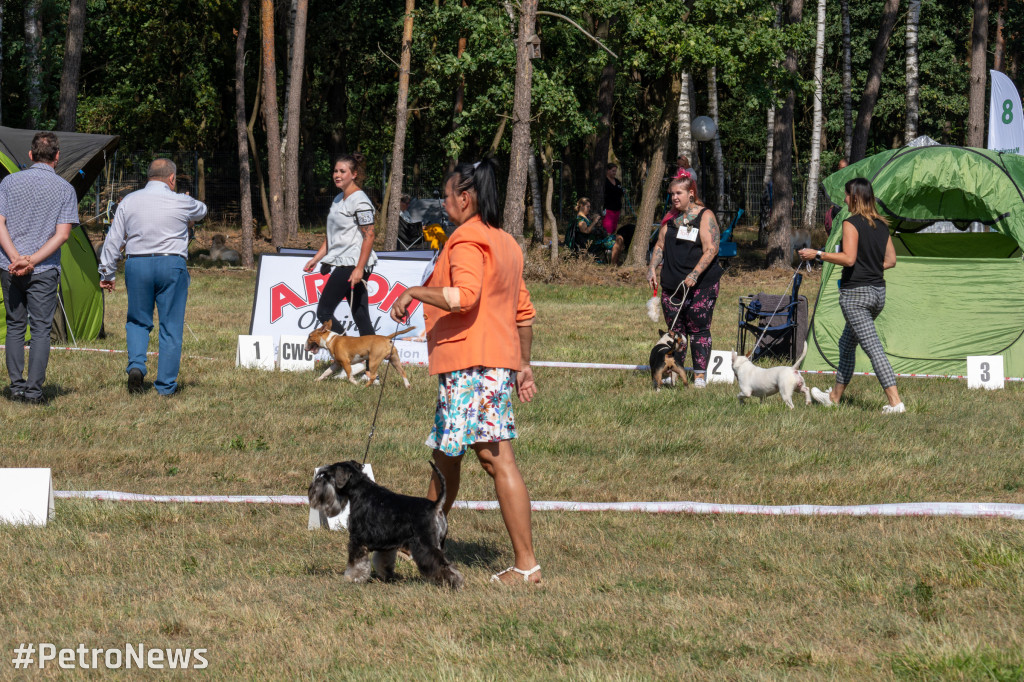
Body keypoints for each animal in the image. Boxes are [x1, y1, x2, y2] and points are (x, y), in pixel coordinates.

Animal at [305, 458, 462, 585]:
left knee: (444, 565)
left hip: (426, 545)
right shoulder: (387, 543)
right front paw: (386, 576)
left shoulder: (357, 539)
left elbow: (356, 563)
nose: (311, 490)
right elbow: (384, 561)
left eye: (325, 475)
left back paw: (454, 582)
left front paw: (351, 578)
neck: (360, 492)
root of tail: (436, 506)